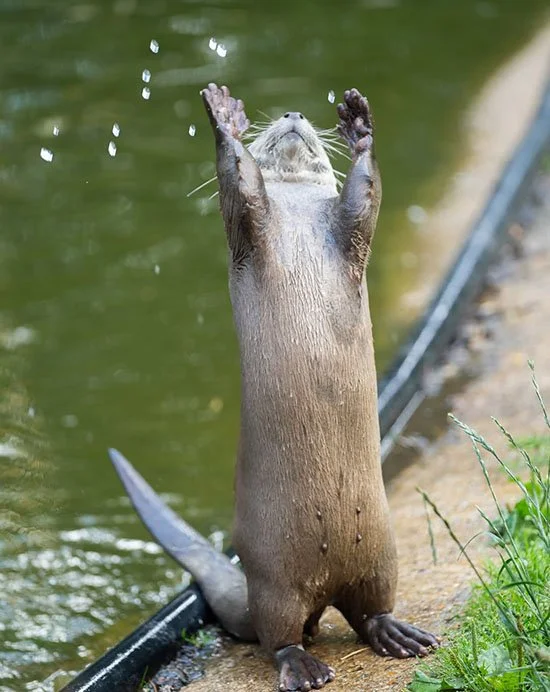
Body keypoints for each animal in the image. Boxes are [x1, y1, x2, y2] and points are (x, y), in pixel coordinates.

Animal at [110, 84, 438, 691]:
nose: (292, 113)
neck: (298, 217)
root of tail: (326, 583)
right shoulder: (248, 231)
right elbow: (238, 186)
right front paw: (225, 120)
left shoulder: (349, 233)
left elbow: (366, 198)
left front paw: (360, 128)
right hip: (275, 576)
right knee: (279, 634)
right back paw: (303, 666)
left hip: (383, 551)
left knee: (368, 608)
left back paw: (397, 634)